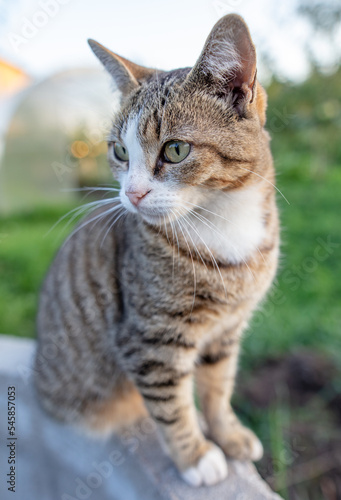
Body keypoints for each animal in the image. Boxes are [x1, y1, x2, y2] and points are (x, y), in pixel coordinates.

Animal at [34, 13, 278, 486]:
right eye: (120, 151)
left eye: (176, 149)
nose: (131, 194)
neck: (223, 221)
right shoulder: (149, 337)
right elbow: (171, 405)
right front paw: (196, 456)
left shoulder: (226, 331)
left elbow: (218, 386)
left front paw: (228, 434)